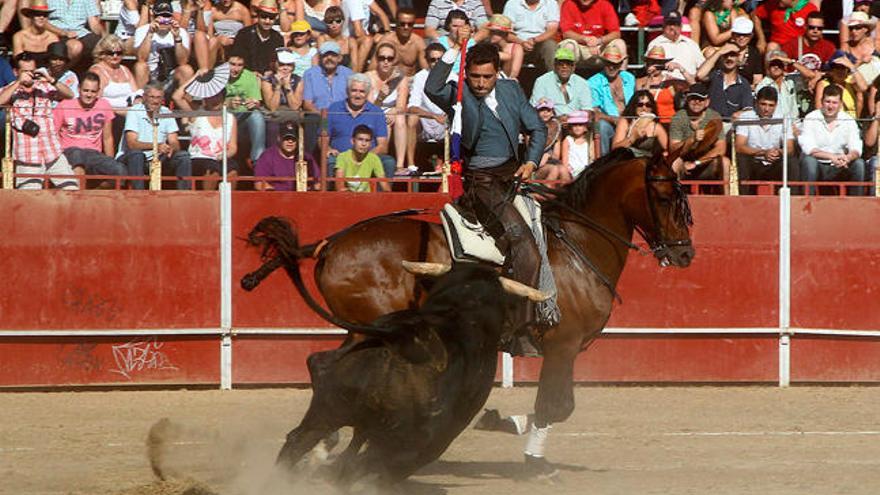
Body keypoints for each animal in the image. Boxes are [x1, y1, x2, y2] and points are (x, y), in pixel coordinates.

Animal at [242, 122, 716, 474]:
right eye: (664, 195)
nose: (685, 253)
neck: (578, 243)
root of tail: (330, 244)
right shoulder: (562, 346)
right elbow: (558, 405)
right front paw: (526, 452)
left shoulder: (565, 348)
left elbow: (555, 406)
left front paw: (501, 426)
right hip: (375, 329)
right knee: (330, 368)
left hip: (362, 330)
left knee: (323, 364)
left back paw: (323, 444)